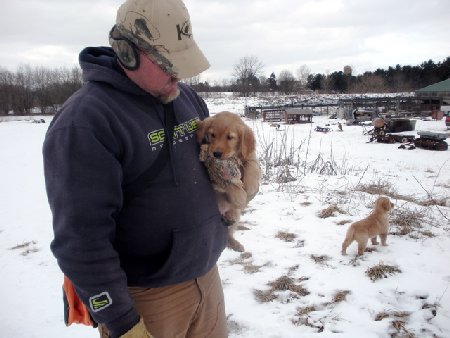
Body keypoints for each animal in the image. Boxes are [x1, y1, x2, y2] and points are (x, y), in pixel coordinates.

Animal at [196, 111, 260, 251]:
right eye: (213, 135)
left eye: (230, 137)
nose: (216, 154)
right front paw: (239, 196)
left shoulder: (250, 156)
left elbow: (252, 168)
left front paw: (250, 188)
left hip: (234, 214)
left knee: (229, 233)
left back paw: (236, 244)